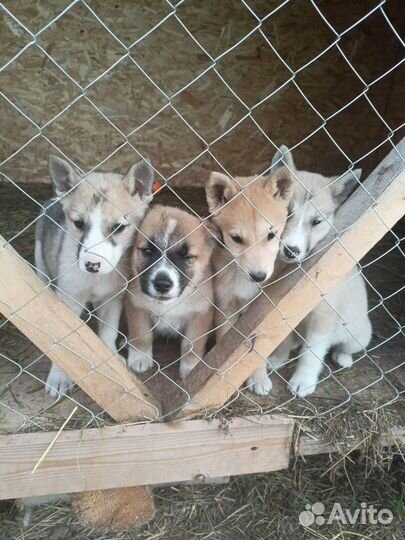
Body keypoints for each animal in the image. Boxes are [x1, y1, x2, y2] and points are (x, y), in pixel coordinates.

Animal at [35, 155, 155, 396]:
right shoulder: (68, 299)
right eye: (79, 223)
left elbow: (109, 331)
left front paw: (110, 358)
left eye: (118, 228)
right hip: (41, 263)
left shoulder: (113, 298)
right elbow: (64, 339)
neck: (95, 280)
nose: (92, 265)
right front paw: (59, 377)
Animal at [125, 206, 215, 380]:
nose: (162, 284)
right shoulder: (136, 305)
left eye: (186, 256)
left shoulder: (201, 314)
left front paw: (191, 367)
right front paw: (140, 357)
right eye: (148, 251)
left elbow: (192, 344)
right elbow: (141, 334)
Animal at [205, 163, 294, 392]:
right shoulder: (225, 306)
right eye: (236, 239)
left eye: (271, 235)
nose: (259, 276)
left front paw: (259, 377)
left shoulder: (260, 308)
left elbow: (259, 348)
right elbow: (225, 342)